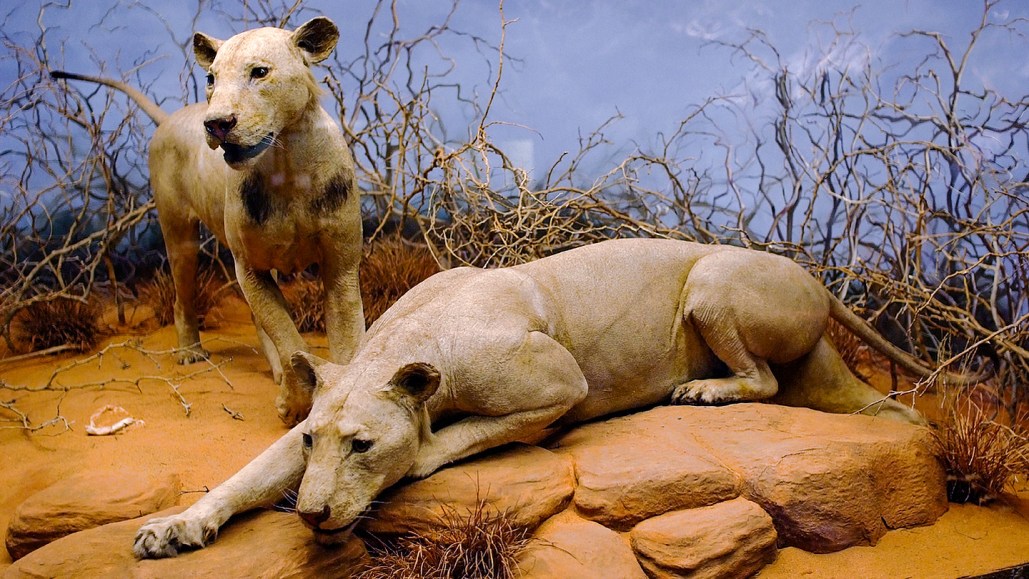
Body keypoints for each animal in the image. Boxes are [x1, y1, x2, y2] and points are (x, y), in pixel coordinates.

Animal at [54, 16, 366, 425]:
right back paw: (191, 352)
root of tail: (171, 117)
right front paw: (295, 402)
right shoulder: (247, 267)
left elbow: (346, 342)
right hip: (180, 235)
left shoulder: (340, 267)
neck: (287, 167)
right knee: (183, 297)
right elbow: (287, 336)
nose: (217, 124)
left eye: (259, 72)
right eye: (211, 78)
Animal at [130, 237, 963, 559]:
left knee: (761, 378)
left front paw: (420, 448)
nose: (309, 513)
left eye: (364, 445)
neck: (406, 346)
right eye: (313, 442)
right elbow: (244, 476)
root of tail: (816, 279)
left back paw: (703, 388)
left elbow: (452, 438)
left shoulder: (559, 383)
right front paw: (173, 528)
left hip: (711, 281)